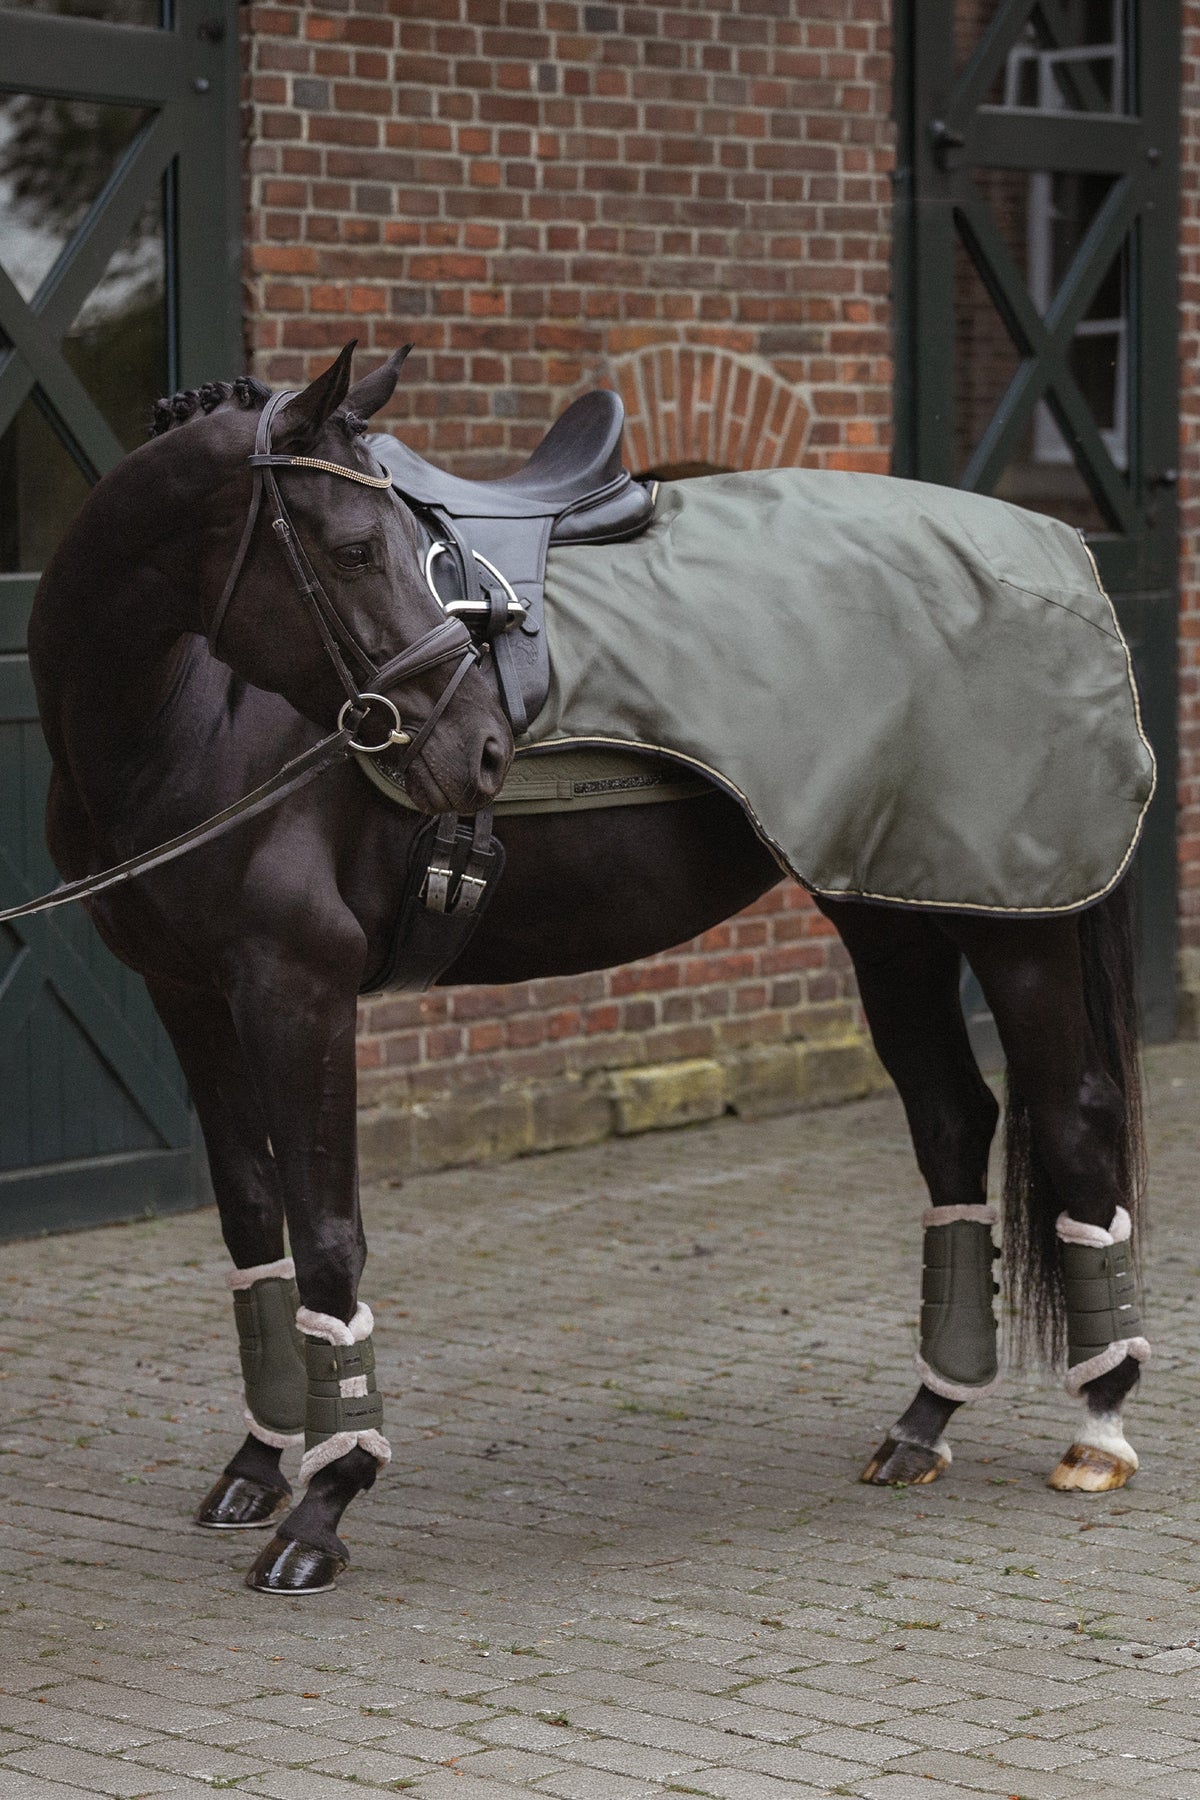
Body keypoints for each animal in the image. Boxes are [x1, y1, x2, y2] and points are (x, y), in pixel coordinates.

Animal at [22, 342, 1150, 1595]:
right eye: (355, 548)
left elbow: (327, 1236)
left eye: (406, 543)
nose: (481, 749)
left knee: (1078, 1118)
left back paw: (1099, 1426)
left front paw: (326, 1498)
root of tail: (1053, 551)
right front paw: (262, 1463)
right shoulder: (191, 997)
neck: (193, 713)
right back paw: (924, 1421)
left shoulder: (295, 990)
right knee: (954, 1121)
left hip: (1015, 919)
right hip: (894, 909)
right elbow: (251, 1216)